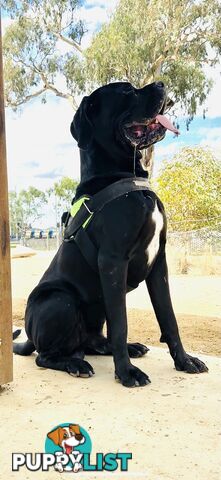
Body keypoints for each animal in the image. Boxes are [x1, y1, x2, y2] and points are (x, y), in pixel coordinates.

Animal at [13, 79, 207, 386]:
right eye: (126, 91)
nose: (162, 84)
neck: (126, 177)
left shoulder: (159, 263)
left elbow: (169, 318)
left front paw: (184, 361)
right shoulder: (113, 261)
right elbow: (121, 324)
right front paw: (127, 373)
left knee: (93, 342)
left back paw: (127, 348)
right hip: (60, 301)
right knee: (45, 356)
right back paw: (75, 363)